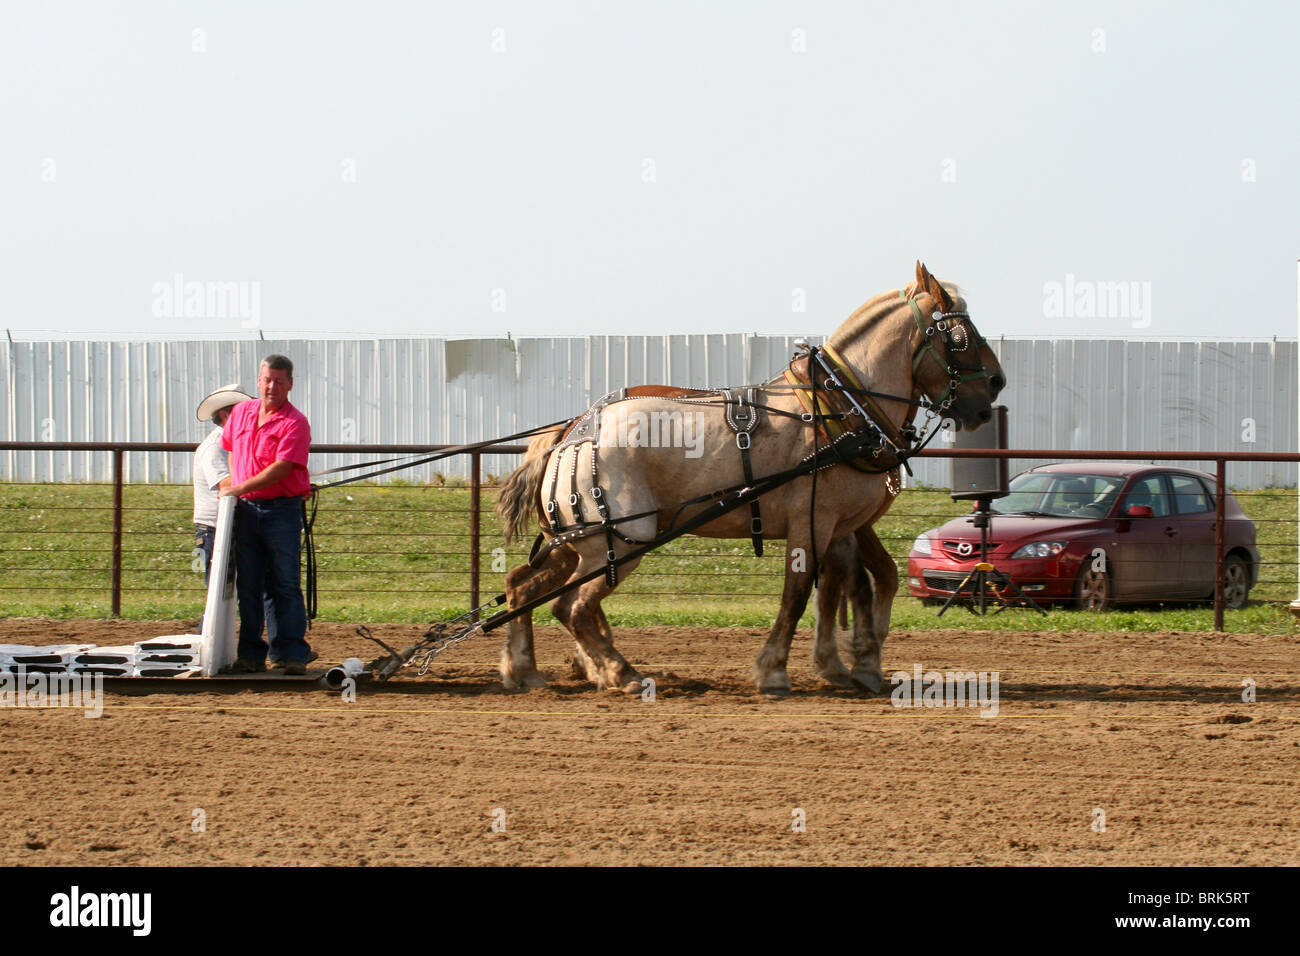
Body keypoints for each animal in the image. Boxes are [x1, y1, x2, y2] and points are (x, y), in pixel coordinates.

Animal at [496, 261, 1003, 697]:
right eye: (960, 335)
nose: (994, 388)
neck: (840, 408)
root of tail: (573, 432)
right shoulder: (812, 521)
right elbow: (799, 593)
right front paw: (774, 670)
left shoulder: (838, 524)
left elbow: (842, 589)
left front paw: (846, 666)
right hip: (621, 540)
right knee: (573, 606)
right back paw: (620, 673)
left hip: (578, 543)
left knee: (525, 587)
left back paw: (526, 670)